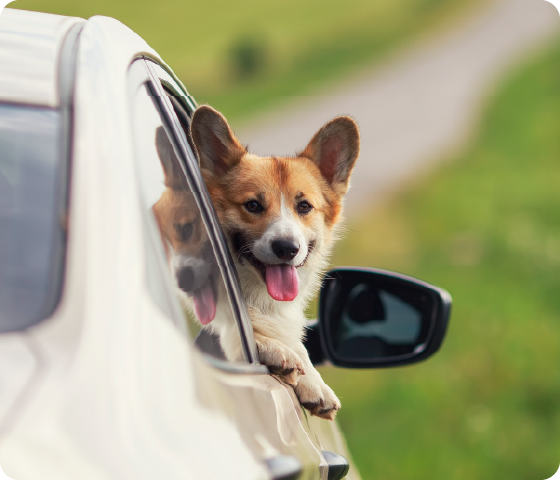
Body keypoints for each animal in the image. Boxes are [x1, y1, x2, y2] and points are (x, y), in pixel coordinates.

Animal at [190, 106, 360, 420]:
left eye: (304, 206)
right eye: (253, 205)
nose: (287, 249)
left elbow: (298, 347)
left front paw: (314, 383)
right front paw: (275, 351)